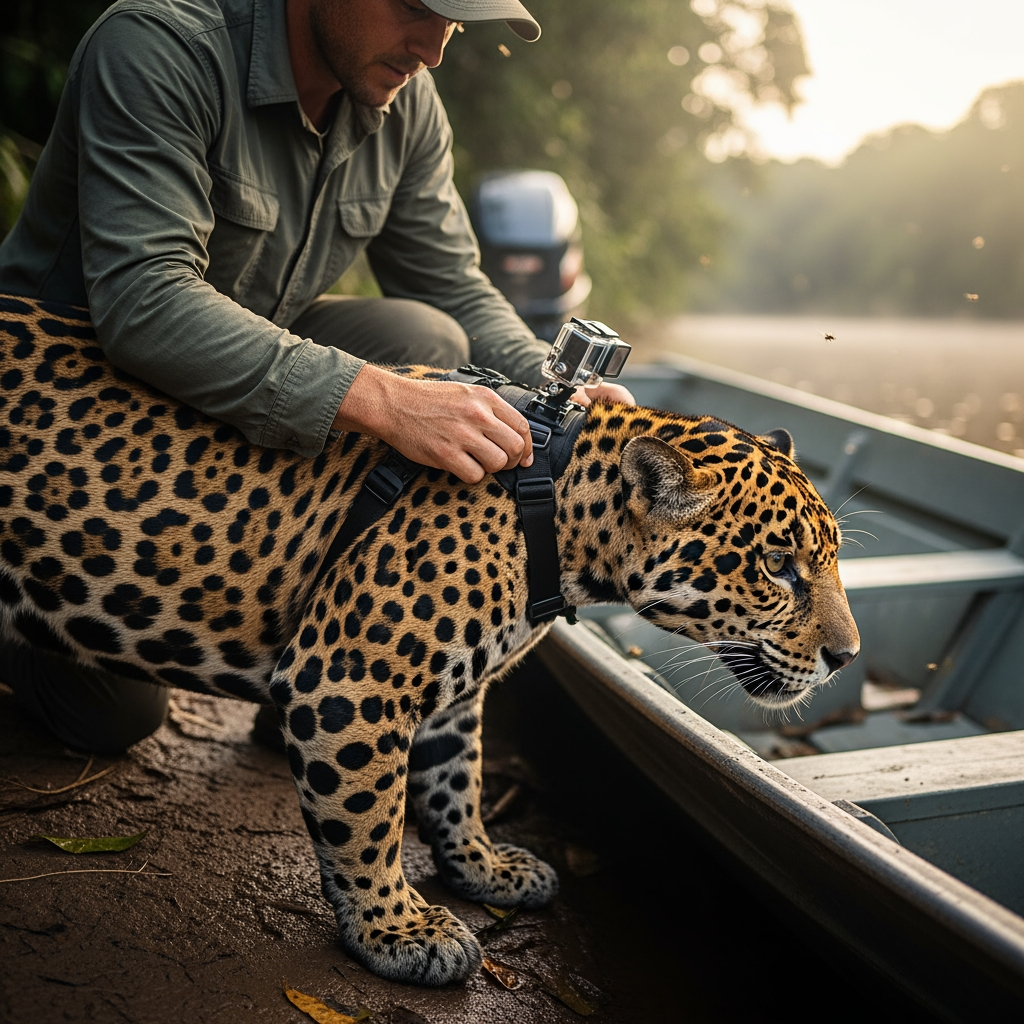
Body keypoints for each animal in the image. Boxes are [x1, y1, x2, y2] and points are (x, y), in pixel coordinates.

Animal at [0, 294, 859, 986]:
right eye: (779, 566)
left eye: (831, 557)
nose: (846, 657)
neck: (560, 513)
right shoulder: (348, 684)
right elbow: (369, 817)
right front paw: (398, 931)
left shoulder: (451, 690)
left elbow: (456, 780)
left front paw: (480, 867)